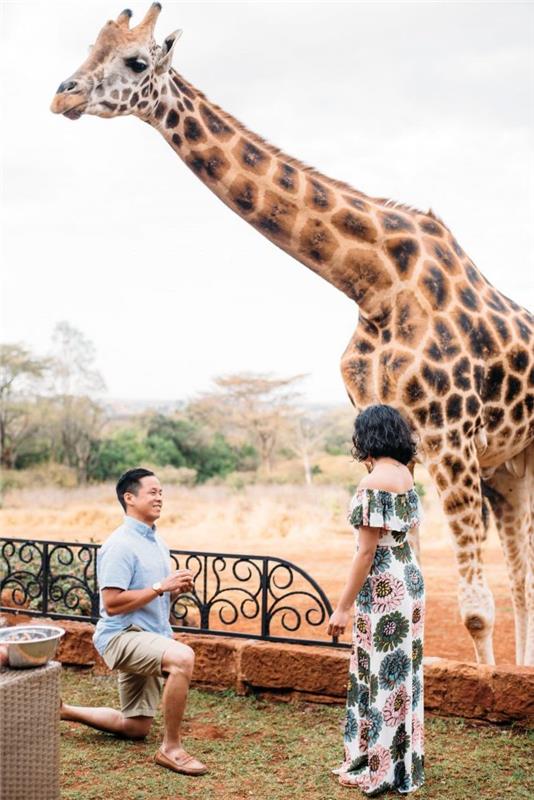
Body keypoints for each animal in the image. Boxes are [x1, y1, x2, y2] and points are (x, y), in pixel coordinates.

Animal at [51, 3, 534, 664]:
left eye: (136, 60)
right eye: (88, 47)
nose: (62, 95)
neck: (374, 283)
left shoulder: (451, 436)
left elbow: (474, 611)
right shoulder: (400, 436)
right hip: (507, 463)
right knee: (523, 579)